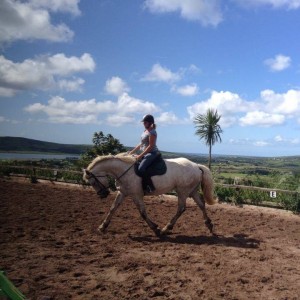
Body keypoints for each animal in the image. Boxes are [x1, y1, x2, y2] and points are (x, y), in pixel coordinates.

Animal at [83, 155, 217, 237]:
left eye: (93, 182)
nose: (103, 194)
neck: (124, 170)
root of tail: (196, 166)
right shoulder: (123, 193)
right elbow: (112, 208)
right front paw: (102, 227)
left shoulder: (136, 195)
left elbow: (142, 213)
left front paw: (155, 228)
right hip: (192, 191)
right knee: (201, 205)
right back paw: (209, 225)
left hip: (182, 191)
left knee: (181, 208)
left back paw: (165, 229)